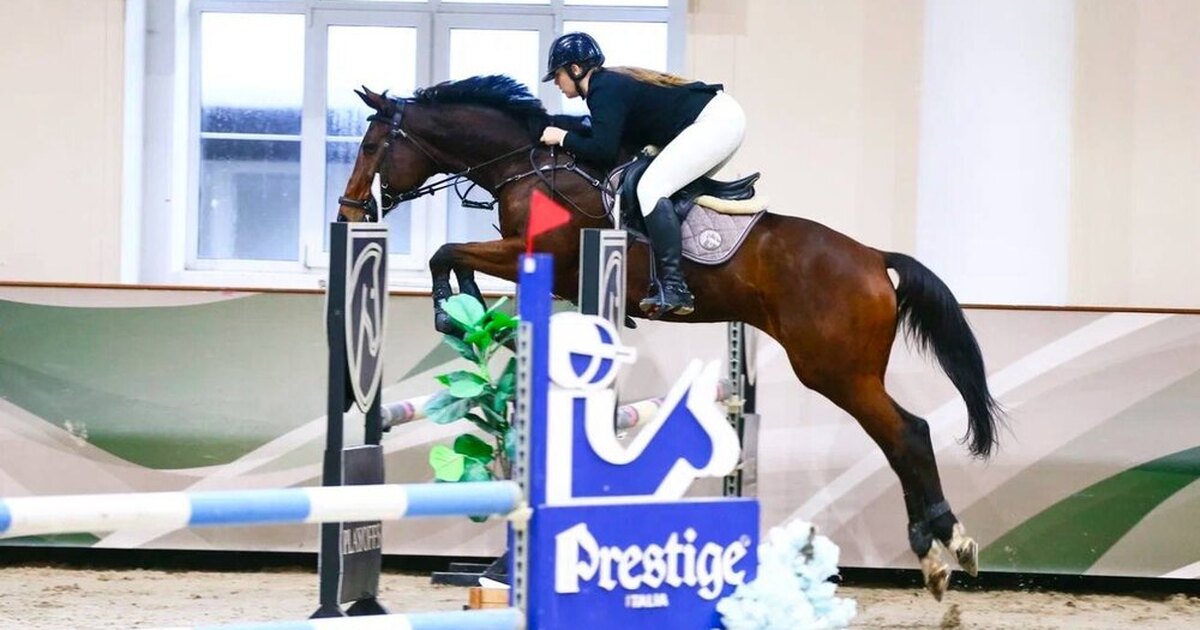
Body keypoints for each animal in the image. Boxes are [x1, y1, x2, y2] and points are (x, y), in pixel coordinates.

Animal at [335, 76, 1001, 600]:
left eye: (370, 145)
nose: (348, 212)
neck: (527, 165)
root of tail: (873, 259)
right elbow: (455, 258)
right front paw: (465, 312)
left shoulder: (539, 251)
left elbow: (447, 252)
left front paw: (451, 312)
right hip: (842, 369)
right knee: (903, 435)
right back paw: (942, 546)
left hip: (835, 370)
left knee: (906, 433)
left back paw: (939, 546)